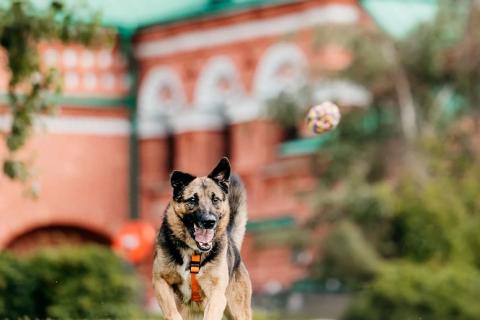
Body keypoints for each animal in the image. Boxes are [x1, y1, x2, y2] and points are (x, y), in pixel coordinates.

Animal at [154, 158, 253, 320]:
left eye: (215, 199)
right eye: (193, 199)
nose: (209, 221)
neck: (193, 253)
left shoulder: (217, 294)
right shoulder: (160, 281)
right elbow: (172, 312)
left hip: (238, 311)